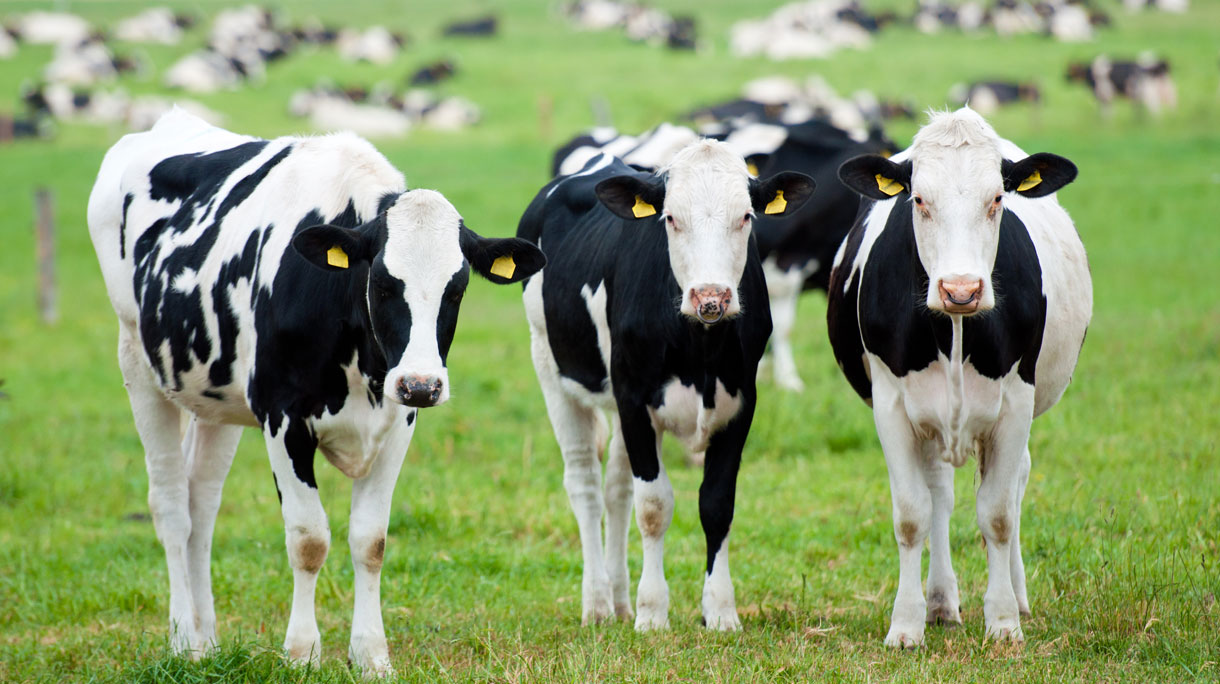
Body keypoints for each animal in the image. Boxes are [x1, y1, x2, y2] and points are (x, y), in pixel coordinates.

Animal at [86, 109, 544, 674]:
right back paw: (183, 641)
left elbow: (370, 540)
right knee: (172, 508)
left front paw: (371, 656)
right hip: (138, 361)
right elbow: (309, 539)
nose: (421, 384)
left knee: (202, 505)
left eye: (456, 289)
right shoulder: (283, 418)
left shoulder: (398, 423)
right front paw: (302, 653)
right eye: (383, 284)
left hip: (215, 398)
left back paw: (207, 640)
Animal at [516, 141, 814, 630]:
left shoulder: (740, 404)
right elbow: (654, 507)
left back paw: (619, 600)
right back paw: (597, 603)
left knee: (616, 488)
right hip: (550, 366)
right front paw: (652, 612)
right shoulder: (635, 400)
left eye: (746, 216)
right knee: (585, 484)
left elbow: (716, 505)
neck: (701, 353)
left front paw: (720, 610)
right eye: (671, 218)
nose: (711, 297)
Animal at [827, 108, 1090, 647]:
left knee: (1014, 485)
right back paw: (941, 602)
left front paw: (1004, 621)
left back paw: (1017, 595)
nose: (962, 289)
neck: (954, 329)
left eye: (997, 200)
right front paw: (905, 625)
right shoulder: (892, 406)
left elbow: (998, 515)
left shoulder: (1016, 402)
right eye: (919, 200)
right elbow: (912, 515)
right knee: (940, 497)